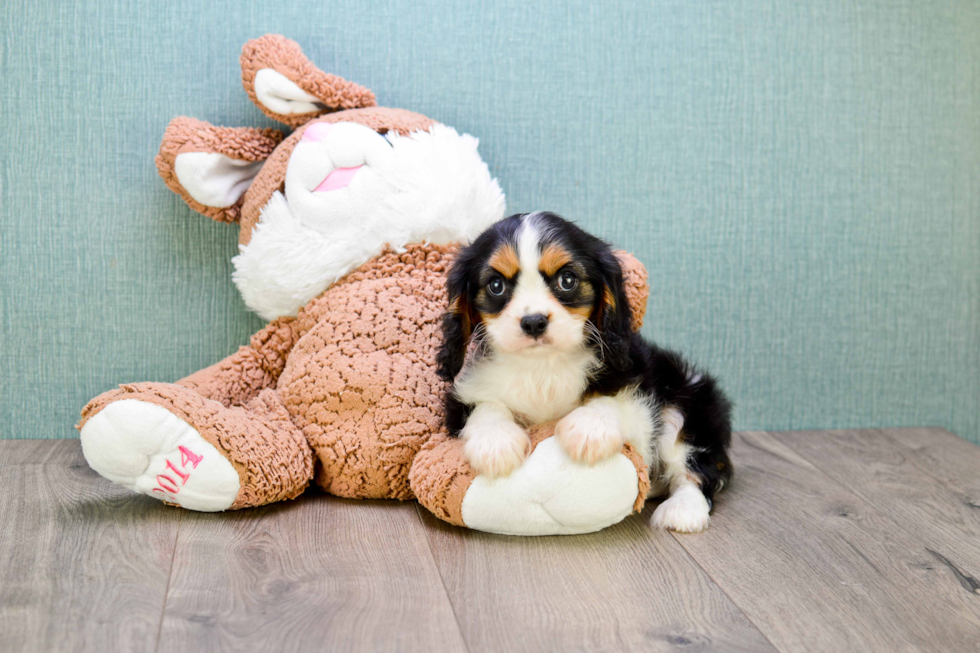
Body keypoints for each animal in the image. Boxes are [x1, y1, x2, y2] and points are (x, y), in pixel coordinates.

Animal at [434, 213, 728, 528]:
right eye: (496, 285)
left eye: (567, 280)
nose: (534, 321)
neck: (543, 366)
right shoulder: (462, 396)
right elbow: (486, 407)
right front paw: (496, 442)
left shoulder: (639, 393)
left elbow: (613, 399)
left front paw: (589, 428)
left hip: (688, 400)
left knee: (695, 469)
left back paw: (682, 510)